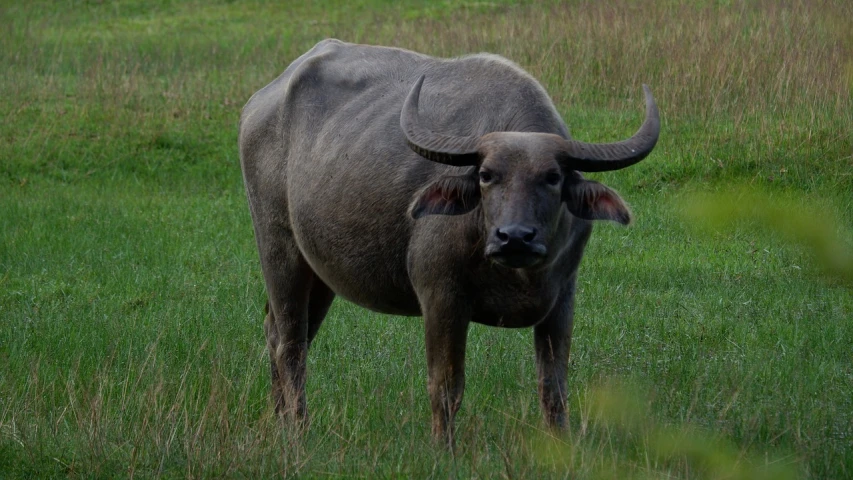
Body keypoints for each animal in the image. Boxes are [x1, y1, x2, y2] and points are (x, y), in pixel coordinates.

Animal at [240, 39, 660, 444]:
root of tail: (260, 103)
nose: (515, 237)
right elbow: (446, 386)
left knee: (282, 332)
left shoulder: (562, 298)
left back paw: (279, 420)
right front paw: (445, 449)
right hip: (278, 246)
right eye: (487, 175)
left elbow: (553, 387)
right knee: (290, 342)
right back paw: (298, 429)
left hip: (320, 269)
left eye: (553, 177)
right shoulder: (441, 296)